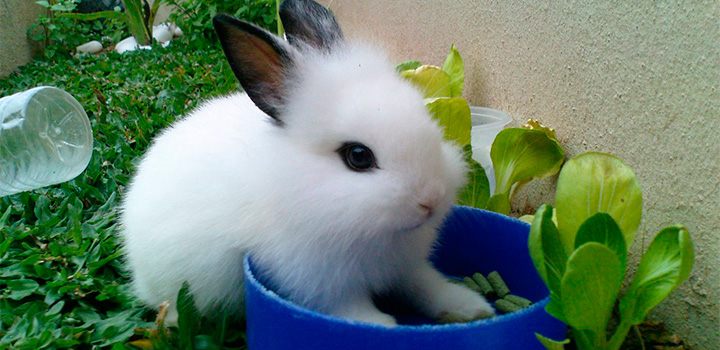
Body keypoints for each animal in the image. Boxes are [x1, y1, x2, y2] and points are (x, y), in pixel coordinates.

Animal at [124, 0, 496, 326]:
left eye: (428, 119)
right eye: (358, 156)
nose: (431, 200)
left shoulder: (407, 267)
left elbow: (426, 285)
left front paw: (471, 308)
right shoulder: (319, 281)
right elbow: (350, 308)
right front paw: (382, 327)